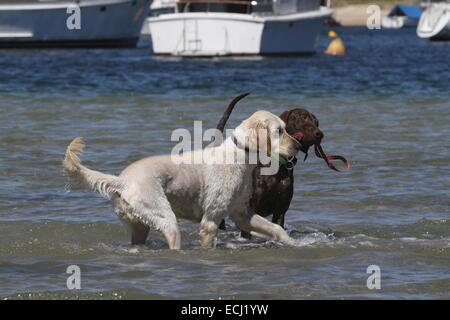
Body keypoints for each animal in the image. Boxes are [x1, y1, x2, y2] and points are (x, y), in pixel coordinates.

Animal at [62, 111, 298, 249]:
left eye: (285, 128)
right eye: (279, 131)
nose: (297, 145)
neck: (240, 156)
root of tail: (122, 180)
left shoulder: (242, 214)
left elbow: (276, 229)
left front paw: (292, 243)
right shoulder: (210, 222)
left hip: (139, 227)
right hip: (166, 219)